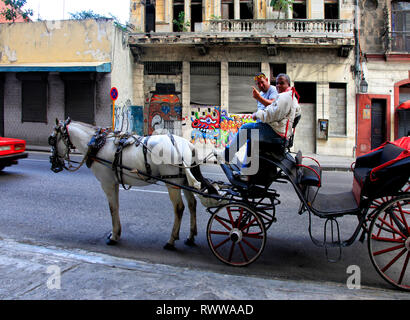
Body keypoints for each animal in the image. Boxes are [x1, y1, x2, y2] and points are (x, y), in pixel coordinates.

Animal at [48, 117, 215, 250]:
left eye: (52, 139)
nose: (53, 163)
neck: (98, 144)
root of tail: (187, 145)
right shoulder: (114, 183)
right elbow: (115, 207)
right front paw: (116, 233)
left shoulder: (107, 183)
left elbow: (112, 208)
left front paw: (114, 236)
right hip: (184, 180)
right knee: (192, 204)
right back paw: (191, 237)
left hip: (172, 181)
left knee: (179, 208)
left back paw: (171, 241)